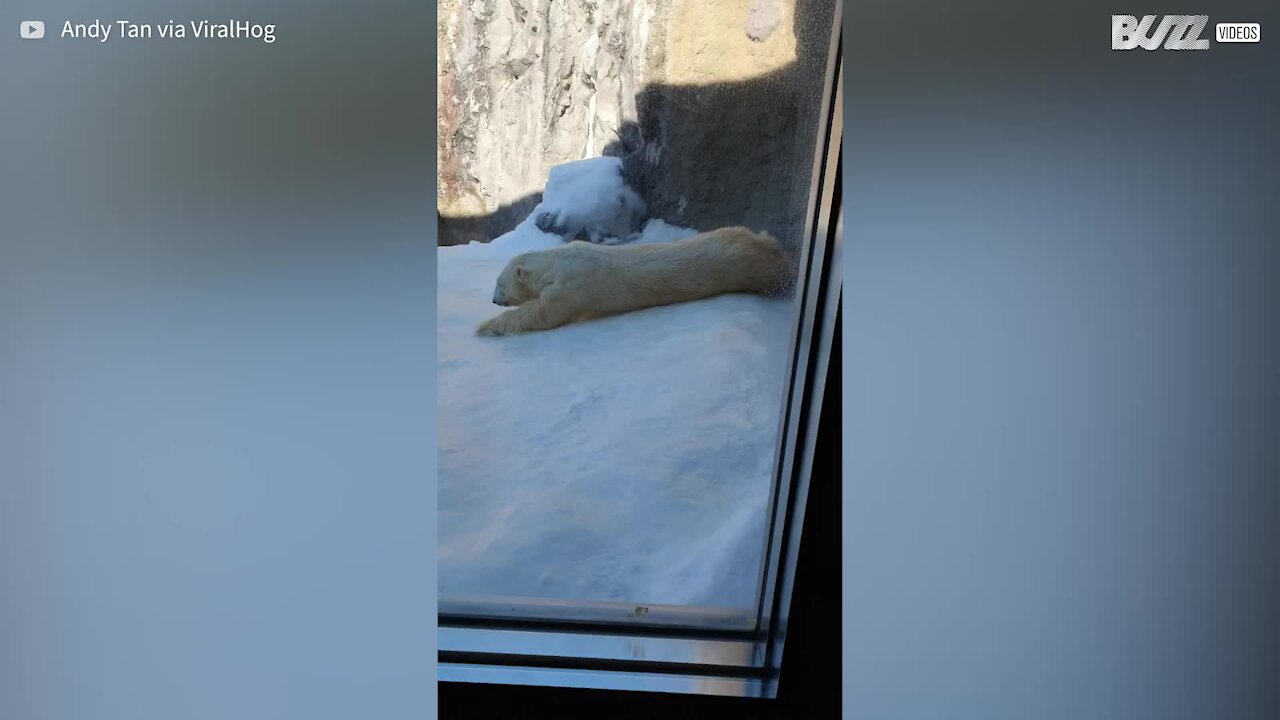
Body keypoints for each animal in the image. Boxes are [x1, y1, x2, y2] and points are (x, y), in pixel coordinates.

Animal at [478, 224, 788, 335]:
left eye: (499, 284)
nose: (493, 300)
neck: (556, 262)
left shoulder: (571, 286)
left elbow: (543, 313)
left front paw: (486, 327)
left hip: (748, 267)